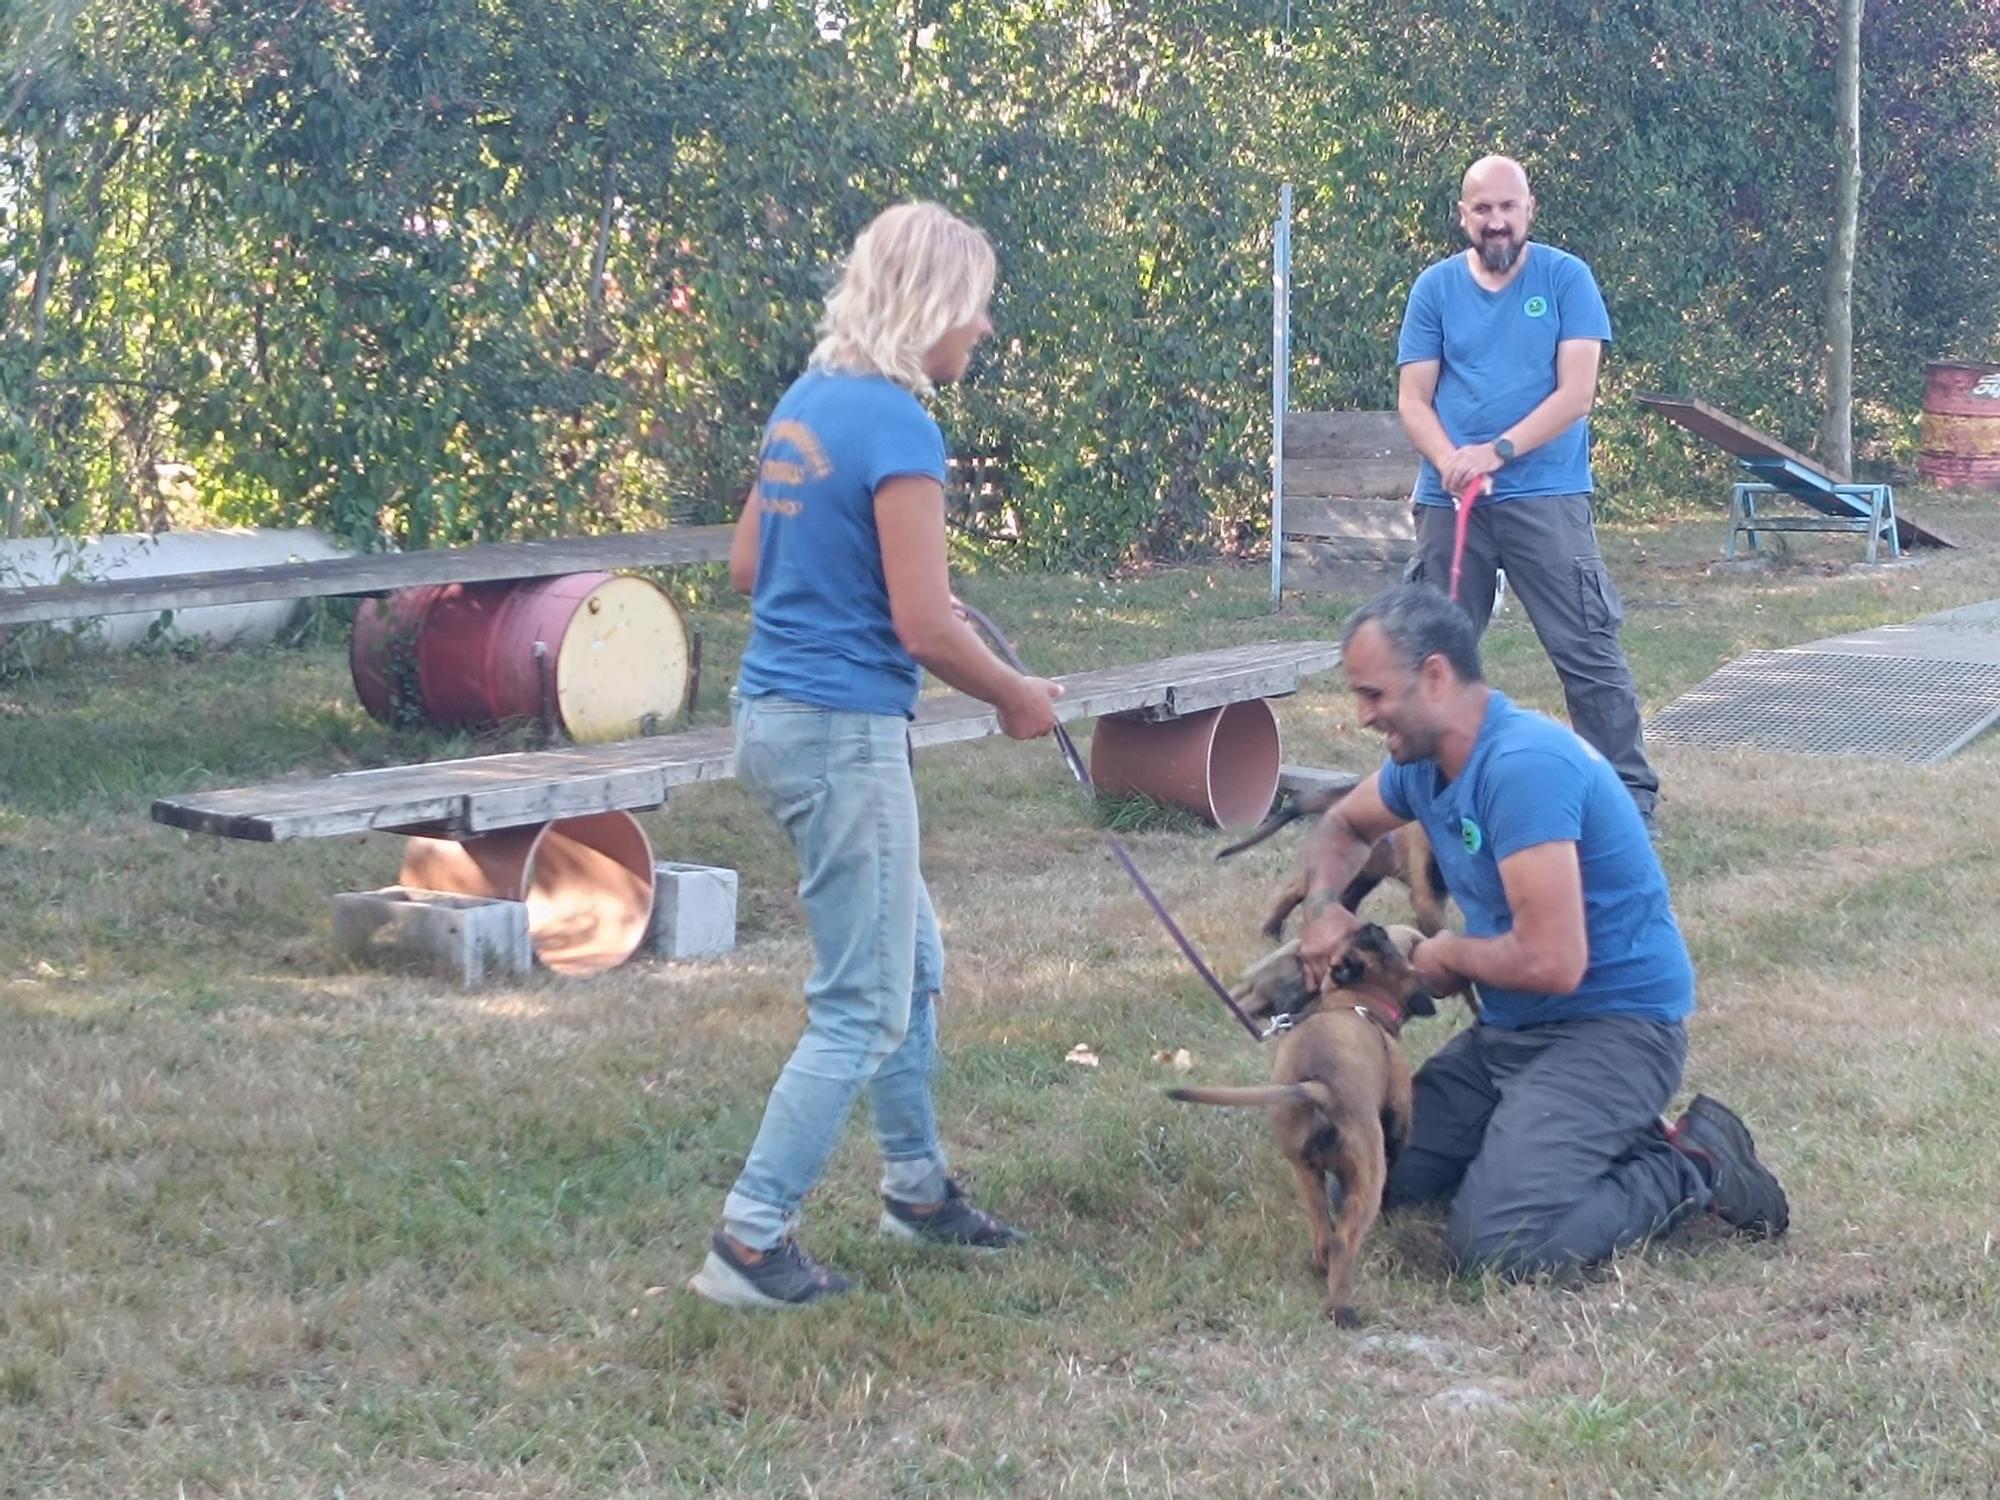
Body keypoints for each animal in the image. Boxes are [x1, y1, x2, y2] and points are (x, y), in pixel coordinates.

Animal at [1168, 928, 1440, 1328]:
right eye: (1388, 947)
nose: (1370, 926)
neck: (1356, 1004)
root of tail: (1320, 1088)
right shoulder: (1397, 1122)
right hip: (1366, 1177)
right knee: (1343, 1241)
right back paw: (1341, 1308)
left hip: (1304, 1172)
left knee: (1323, 1234)